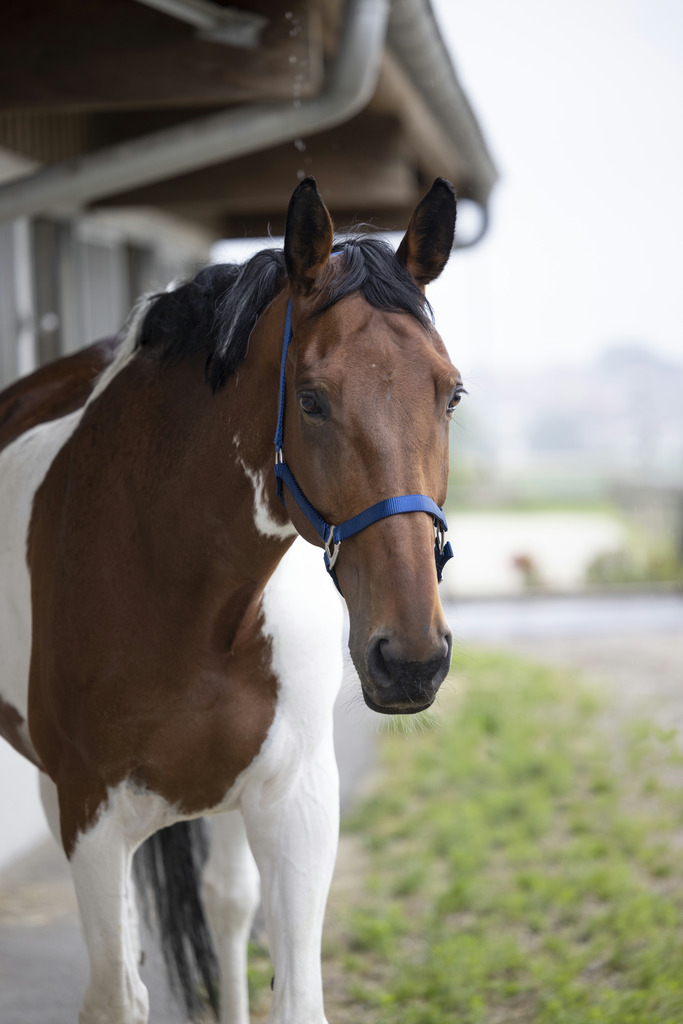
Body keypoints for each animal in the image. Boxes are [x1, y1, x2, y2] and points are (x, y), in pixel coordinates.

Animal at [0, 178, 462, 1024]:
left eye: (449, 395)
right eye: (310, 400)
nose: (410, 659)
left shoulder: (297, 802)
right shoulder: (91, 816)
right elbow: (117, 994)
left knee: (224, 906)